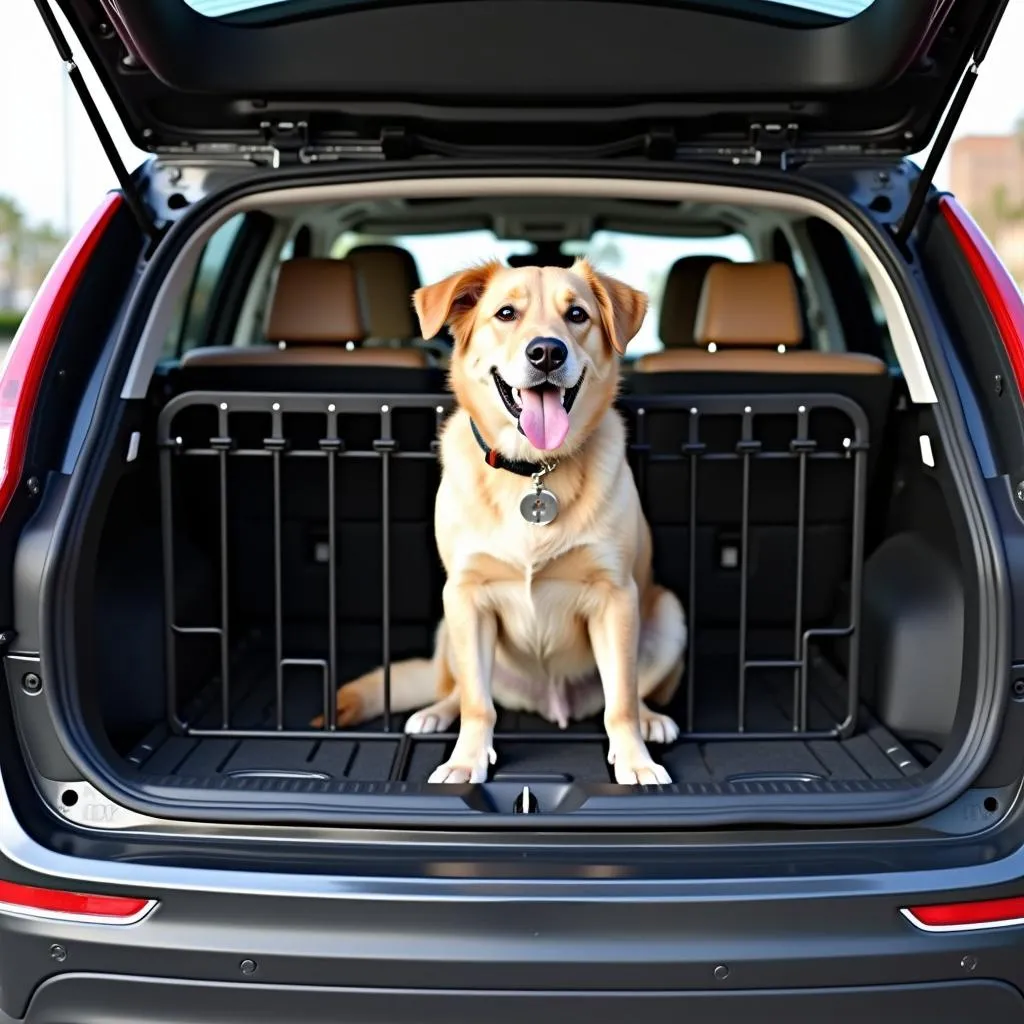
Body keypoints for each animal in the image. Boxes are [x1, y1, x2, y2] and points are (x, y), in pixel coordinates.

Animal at [317, 258, 688, 782]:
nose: (547, 352)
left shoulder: (615, 597)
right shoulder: (468, 596)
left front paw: (635, 761)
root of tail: (552, 702)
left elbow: (620, 702)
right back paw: (436, 713)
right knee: (459, 690)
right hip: (448, 624)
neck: (533, 470)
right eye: (506, 313)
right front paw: (465, 759)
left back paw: (652, 718)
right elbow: (478, 703)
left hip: (668, 614)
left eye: (577, 314)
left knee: (634, 692)